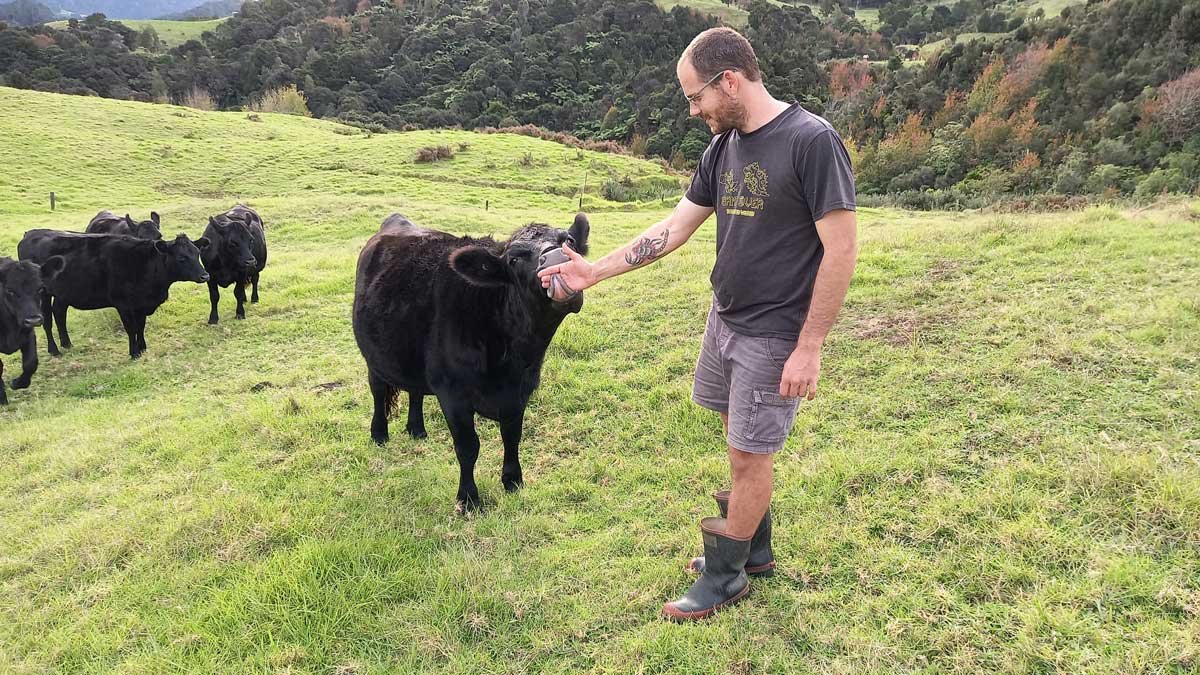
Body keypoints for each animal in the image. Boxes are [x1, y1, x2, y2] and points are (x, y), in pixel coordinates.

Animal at [0, 254, 64, 401]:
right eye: (10, 291)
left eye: (40, 288)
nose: (33, 319)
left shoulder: (28, 334)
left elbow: (31, 363)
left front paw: (17, 383)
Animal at [18, 230, 210, 357]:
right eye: (182, 258)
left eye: (197, 252)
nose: (205, 275)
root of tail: (31, 233)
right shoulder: (123, 304)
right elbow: (130, 328)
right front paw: (134, 353)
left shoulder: (141, 304)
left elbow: (140, 326)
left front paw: (143, 347)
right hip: (43, 293)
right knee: (48, 320)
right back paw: (54, 350)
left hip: (64, 292)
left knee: (59, 313)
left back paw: (67, 344)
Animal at [352, 212, 592, 506]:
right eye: (514, 260)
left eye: (568, 241)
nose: (557, 258)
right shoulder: (453, 395)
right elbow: (468, 447)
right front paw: (468, 499)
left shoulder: (519, 394)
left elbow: (512, 437)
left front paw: (513, 481)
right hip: (373, 357)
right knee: (377, 391)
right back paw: (379, 434)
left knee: (415, 391)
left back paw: (417, 430)